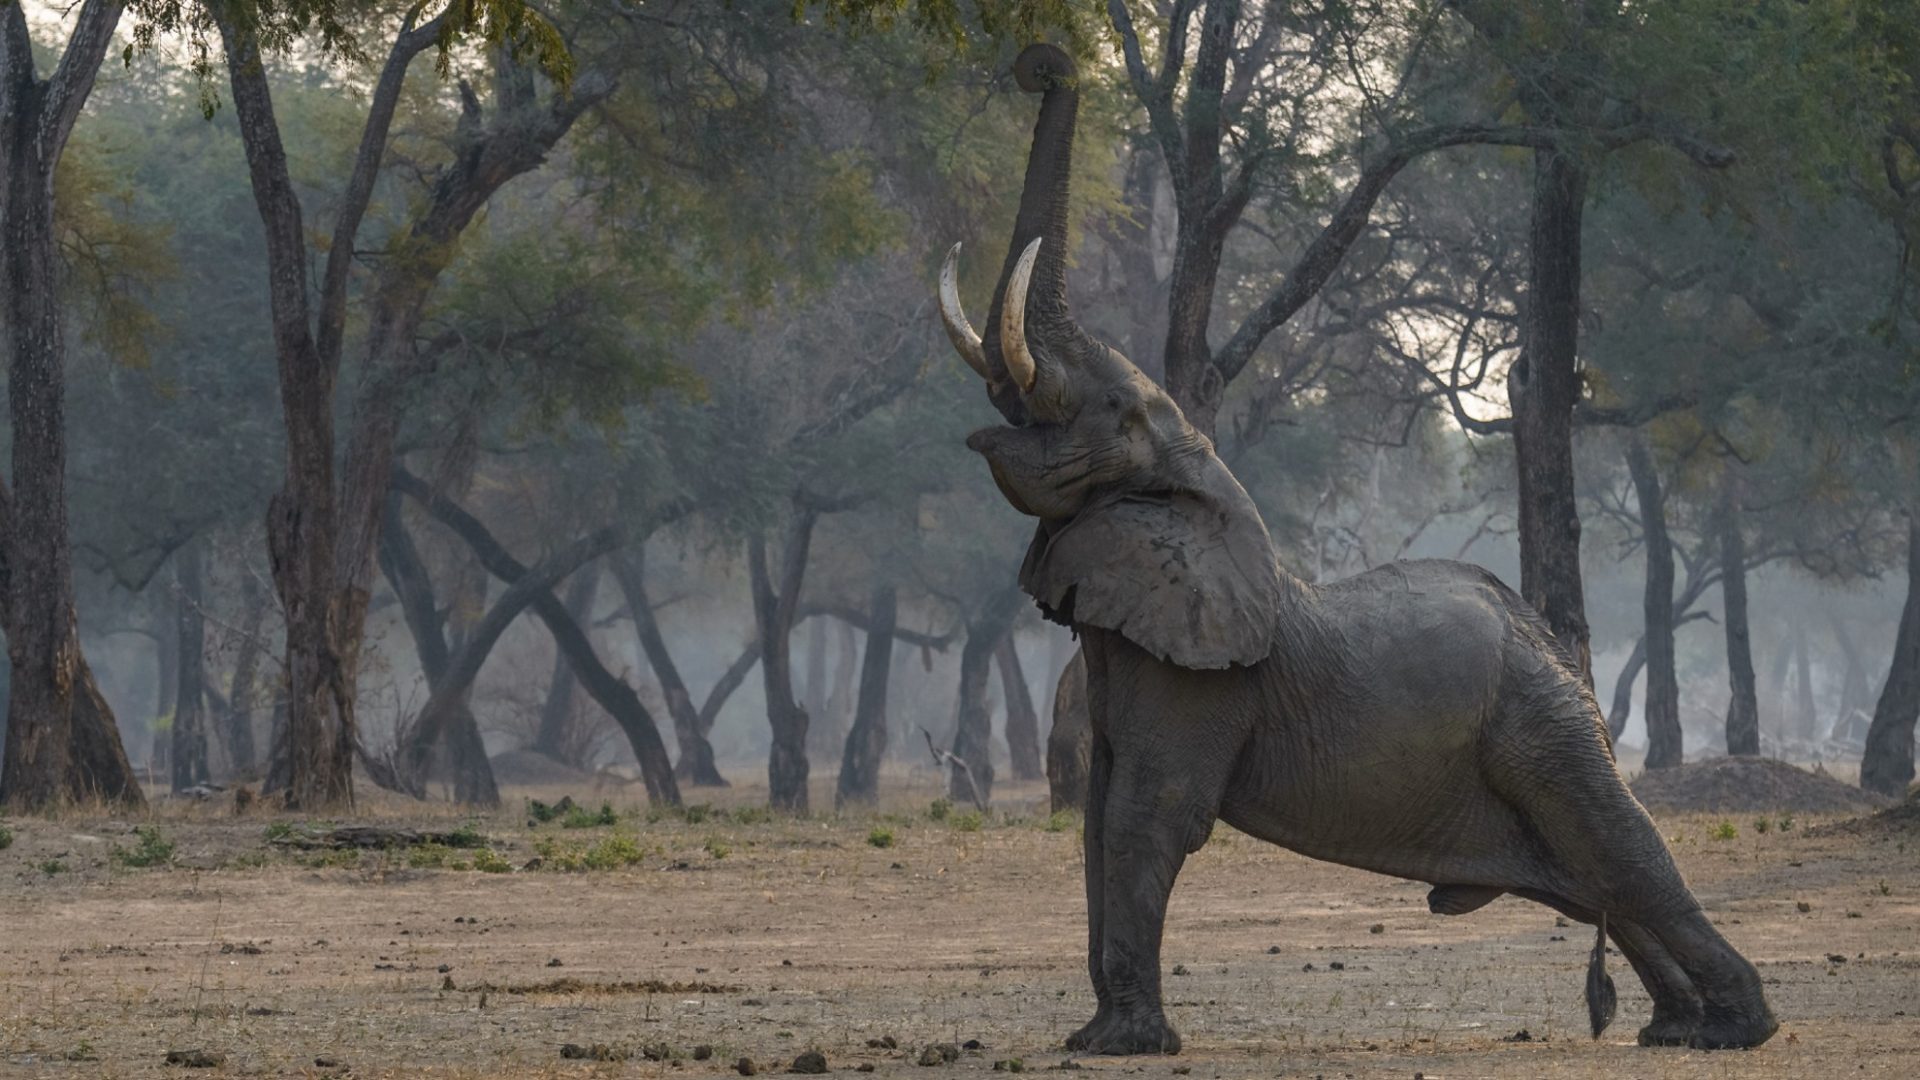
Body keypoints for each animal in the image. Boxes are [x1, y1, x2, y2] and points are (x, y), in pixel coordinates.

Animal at [929, 44, 1766, 1053]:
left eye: (1118, 410)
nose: (1038, 61)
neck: (1201, 482)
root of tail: (1546, 639)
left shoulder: (1200, 681)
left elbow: (1148, 816)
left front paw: (1122, 1046)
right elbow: (1097, 822)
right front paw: (1097, 1038)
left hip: (1540, 722)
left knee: (1622, 849)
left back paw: (1741, 1027)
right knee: (1588, 878)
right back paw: (1678, 1028)